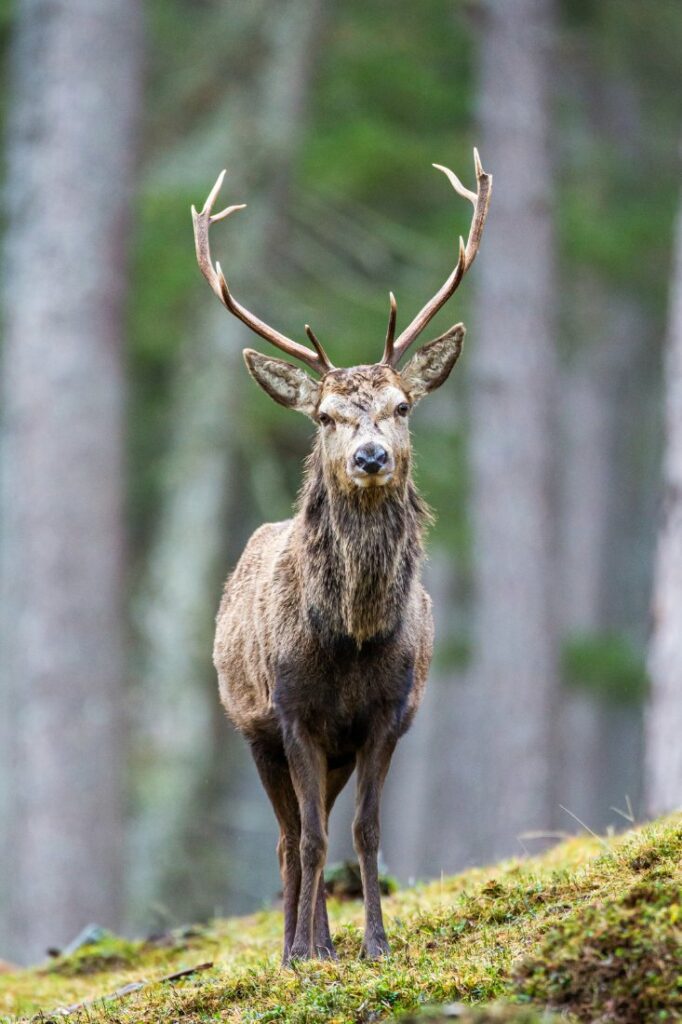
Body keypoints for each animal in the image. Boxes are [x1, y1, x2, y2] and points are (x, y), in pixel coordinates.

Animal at [191, 148, 489, 962]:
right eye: (325, 415)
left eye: (402, 405)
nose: (370, 456)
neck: (351, 638)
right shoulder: (292, 712)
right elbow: (313, 839)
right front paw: (303, 952)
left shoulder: (387, 715)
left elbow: (365, 831)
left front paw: (375, 945)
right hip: (250, 725)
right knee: (288, 840)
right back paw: (297, 942)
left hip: (336, 748)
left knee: (316, 826)